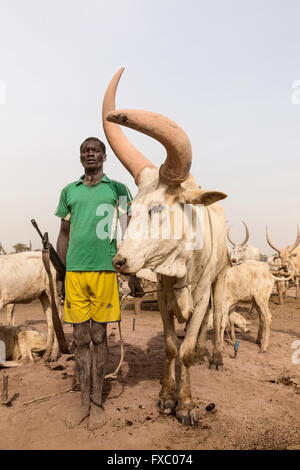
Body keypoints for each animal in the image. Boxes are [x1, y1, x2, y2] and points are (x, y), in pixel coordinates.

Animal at [102, 67, 229, 426]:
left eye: (158, 208)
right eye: (130, 210)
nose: (120, 261)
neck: (180, 264)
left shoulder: (199, 294)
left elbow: (185, 349)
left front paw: (185, 404)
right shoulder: (161, 293)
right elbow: (173, 346)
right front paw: (165, 395)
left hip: (220, 279)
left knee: (217, 316)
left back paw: (212, 355)